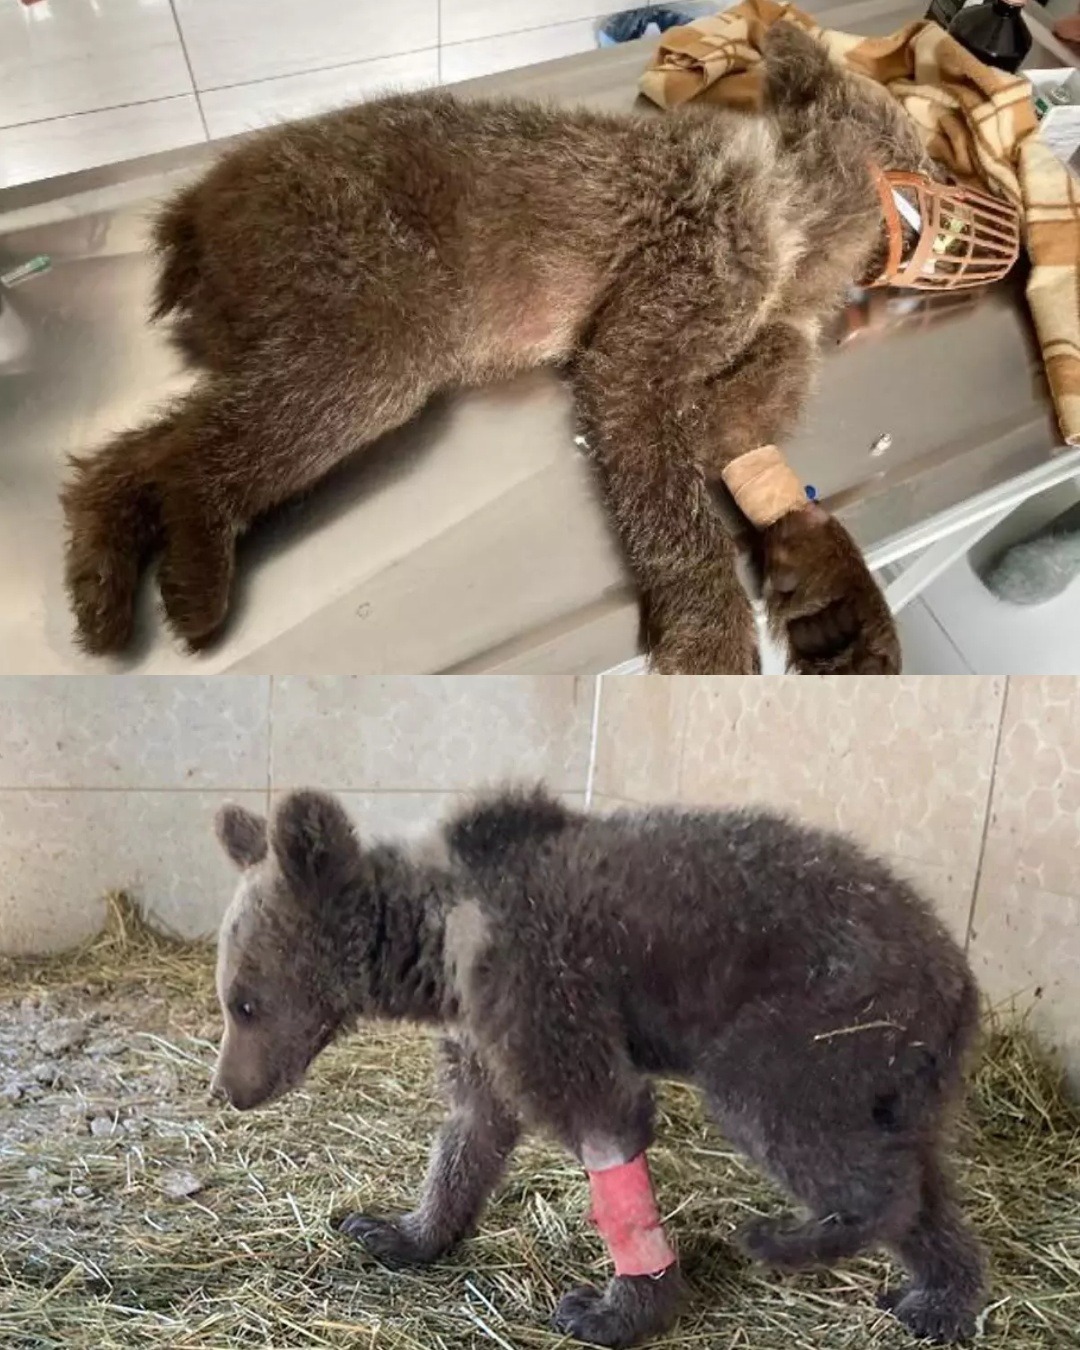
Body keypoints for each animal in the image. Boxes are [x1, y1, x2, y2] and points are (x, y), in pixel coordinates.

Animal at [62, 22, 916, 674]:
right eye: (916, 142)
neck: (791, 213)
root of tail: (196, 208)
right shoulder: (682, 293)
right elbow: (655, 443)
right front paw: (708, 625)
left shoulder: (764, 330)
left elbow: (746, 419)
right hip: (367, 309)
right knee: (204, 450)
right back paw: (195, 555)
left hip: (285, 326)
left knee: (145, 448)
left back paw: (103, 560)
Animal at [211, 784, 986, 1348]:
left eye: (243, 1002)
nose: (227, 1090)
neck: (433, 945)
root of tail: (956, 976)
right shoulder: (483, 1026)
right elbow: (473, 1127)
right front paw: (399, 1230)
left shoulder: (538, 981)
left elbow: (605, 1122)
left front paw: (616, 1307)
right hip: (895, 1070)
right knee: (918, 1171)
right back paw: (939, 1295)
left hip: (817, 1014)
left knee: (790, 1122)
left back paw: (792, 1236)